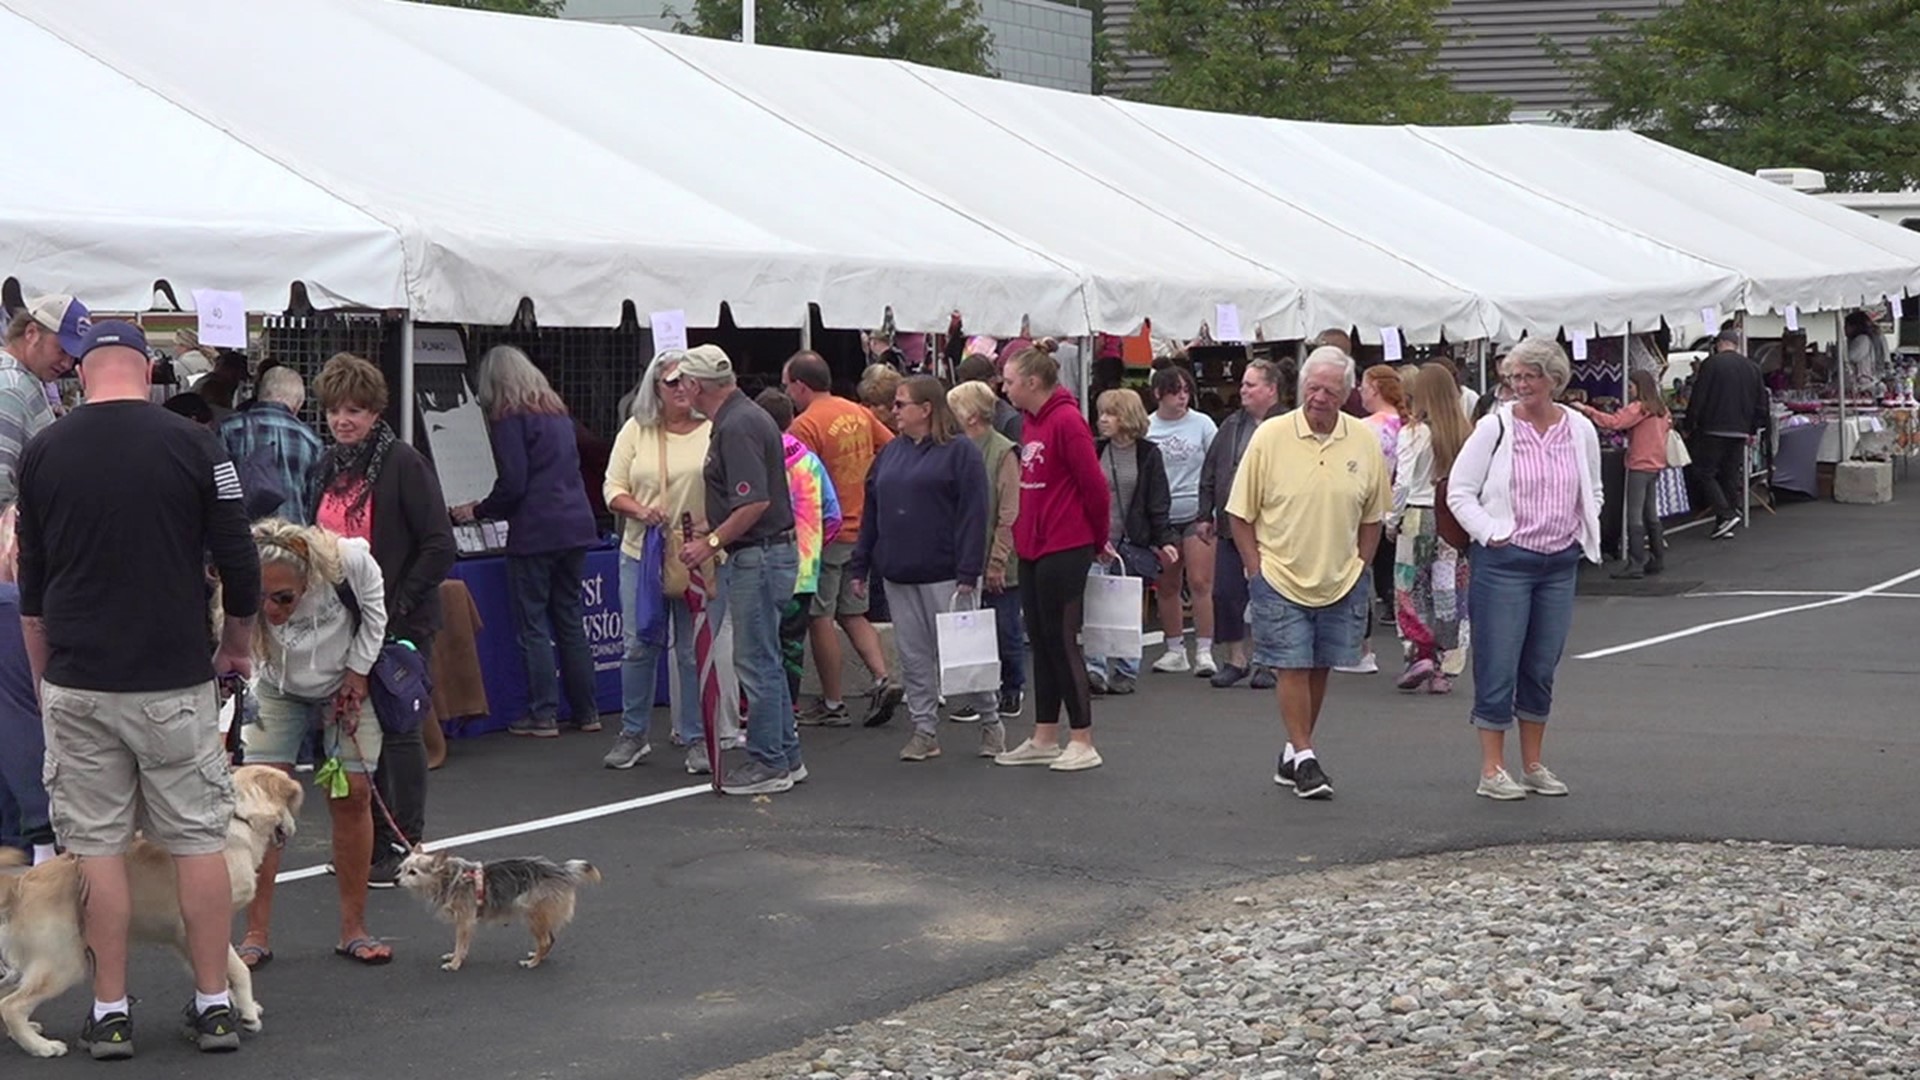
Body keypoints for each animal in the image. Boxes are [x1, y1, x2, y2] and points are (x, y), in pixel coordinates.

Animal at [0, 760, 301, 1053]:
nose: (293, 828)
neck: (240, 819)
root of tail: (19, 884)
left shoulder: (182, 938)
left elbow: (211, 972)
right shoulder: (207, 919)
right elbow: (238, 970)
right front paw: (248, 1013)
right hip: (65, 962)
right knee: (11, 1006)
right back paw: (41, 1046)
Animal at [405, 849, 606, 968]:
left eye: (413, 872)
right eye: (401, 869)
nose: (397, 880)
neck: (450, 877)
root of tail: (561, 871)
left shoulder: (465, 921)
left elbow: (460, 944)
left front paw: (455, 963)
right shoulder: (464, 922)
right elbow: (461, 945)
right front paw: (454, 957)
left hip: (532, 913)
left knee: (545, 940)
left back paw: (533, 962)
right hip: (541, 915)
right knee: (550, 939)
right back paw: (538, 956)